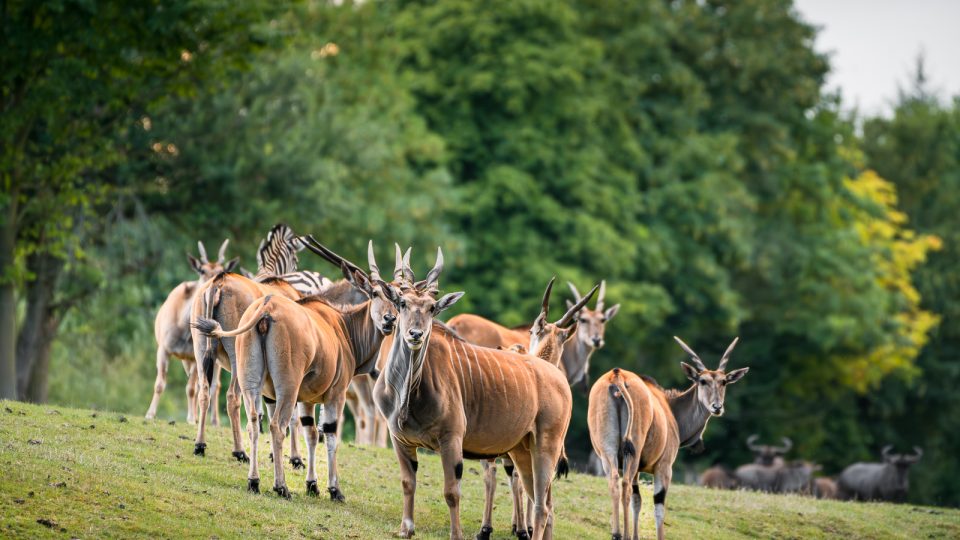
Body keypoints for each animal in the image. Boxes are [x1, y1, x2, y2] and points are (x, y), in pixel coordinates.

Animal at [584, 338, 752, 540]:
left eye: (724, 382)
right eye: (702, 381)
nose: (717, 407)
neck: (669, 408)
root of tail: (617, 376)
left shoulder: (636, 467)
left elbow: (637, 501)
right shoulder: (664, 467)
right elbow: (658, 507)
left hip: (607, 452)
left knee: (615, 483)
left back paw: (616, 534)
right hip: (632, 452)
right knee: (625, 485)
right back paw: (622, 535)